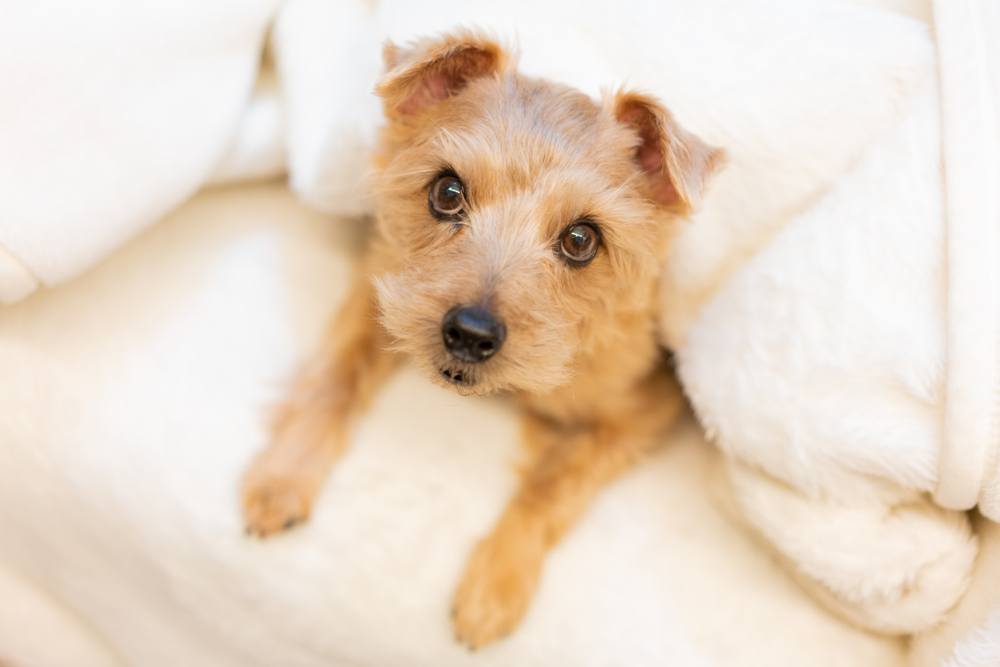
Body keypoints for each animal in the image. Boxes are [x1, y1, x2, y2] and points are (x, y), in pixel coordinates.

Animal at [244, 30, 728, 648]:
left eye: (581, 239)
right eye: (447, 191)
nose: (470, 334)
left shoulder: (645, 405)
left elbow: (554, 480)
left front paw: (496, 581)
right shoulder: (383, 286)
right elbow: (333, 376)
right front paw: (282, 476)